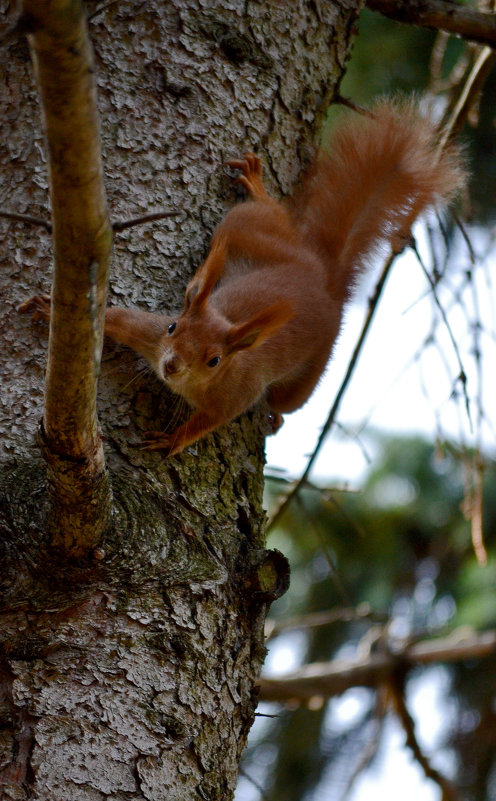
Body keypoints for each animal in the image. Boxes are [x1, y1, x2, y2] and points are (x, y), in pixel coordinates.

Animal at [23, 98, 464, 456]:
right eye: (173, 327)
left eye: (215, 360)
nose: (171, 366)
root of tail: (323, 273)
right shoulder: (149, 334)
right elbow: (115, 319)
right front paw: (49, 309)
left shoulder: (237, 394)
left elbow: (208, 422)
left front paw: (172, 440)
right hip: (251, 230)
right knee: (258, 217)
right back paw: (255, 190)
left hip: (308, 372)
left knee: (287, 402)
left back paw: (276, 418)